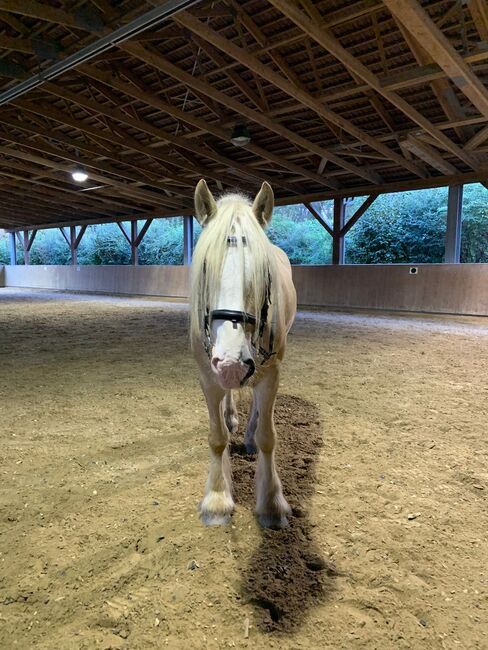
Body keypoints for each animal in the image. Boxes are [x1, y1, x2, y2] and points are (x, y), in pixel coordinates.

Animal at [192, 177, 298, 528]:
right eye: (206, 268)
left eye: (264, 272)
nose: (232, 363)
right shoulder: (207, 373)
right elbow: (216, 437)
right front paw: (217, 498)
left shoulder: (271, 371)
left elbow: (268, 437)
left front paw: (271, 502)